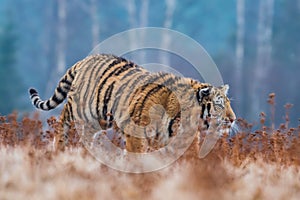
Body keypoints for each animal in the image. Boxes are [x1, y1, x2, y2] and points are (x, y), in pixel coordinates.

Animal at [29, 54, 236, 152]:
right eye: (219, 105)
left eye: (229, 103)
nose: (233, 119)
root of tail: (86, 59)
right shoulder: (136, 133)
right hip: (80, 112)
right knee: (63, 121)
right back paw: (61, 148)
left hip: (100, 120)